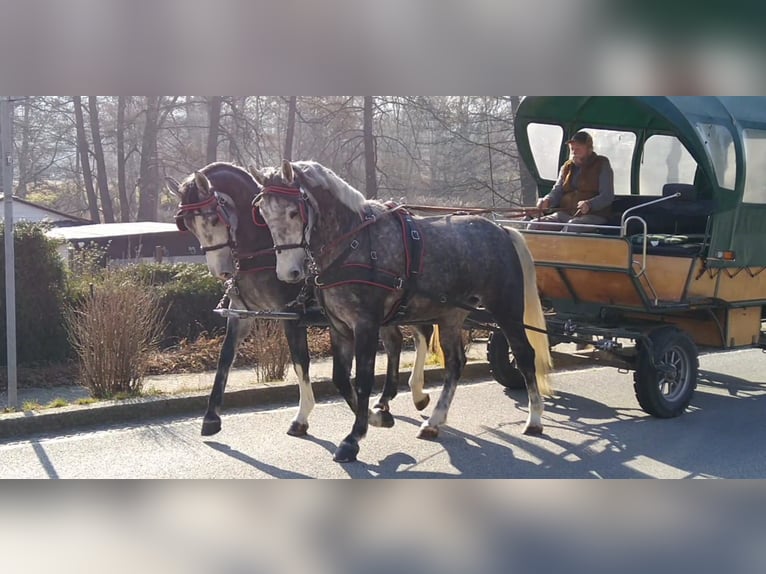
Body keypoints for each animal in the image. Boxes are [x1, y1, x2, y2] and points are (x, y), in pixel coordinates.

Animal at [255, 161, 556, 464]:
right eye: (264, 214)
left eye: (294, 212)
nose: (289, 272)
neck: (353, 243)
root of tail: (502, 230)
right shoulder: (339, 326)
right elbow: (341, 379)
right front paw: (377, 417)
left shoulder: (366, 324)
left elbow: (362, 381)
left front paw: (355, 436)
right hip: (452, 315)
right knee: (455, 363)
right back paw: (434, 421)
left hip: (506, 310)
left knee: (524, 355)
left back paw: (534, 418)